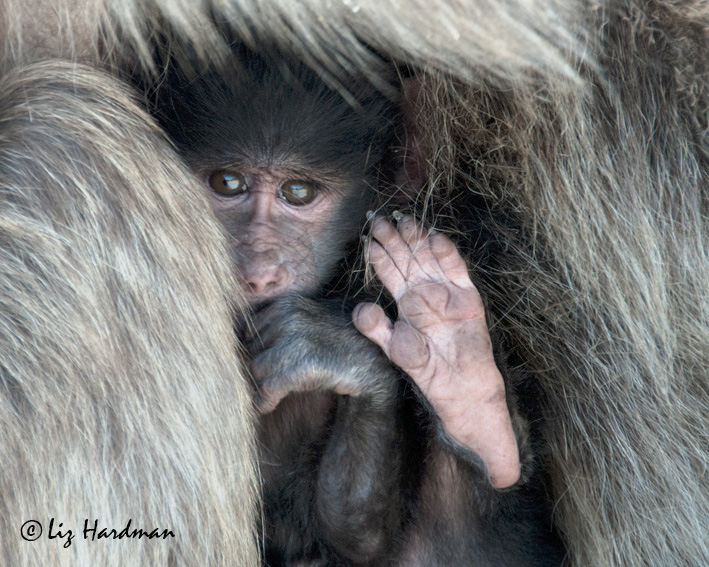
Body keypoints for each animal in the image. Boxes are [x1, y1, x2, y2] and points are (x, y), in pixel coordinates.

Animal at [2, 1, 708, 567]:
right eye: (227, 184)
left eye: (298, 194)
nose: (259, 268)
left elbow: (356, 533)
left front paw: (348, 355)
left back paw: (465, 382)